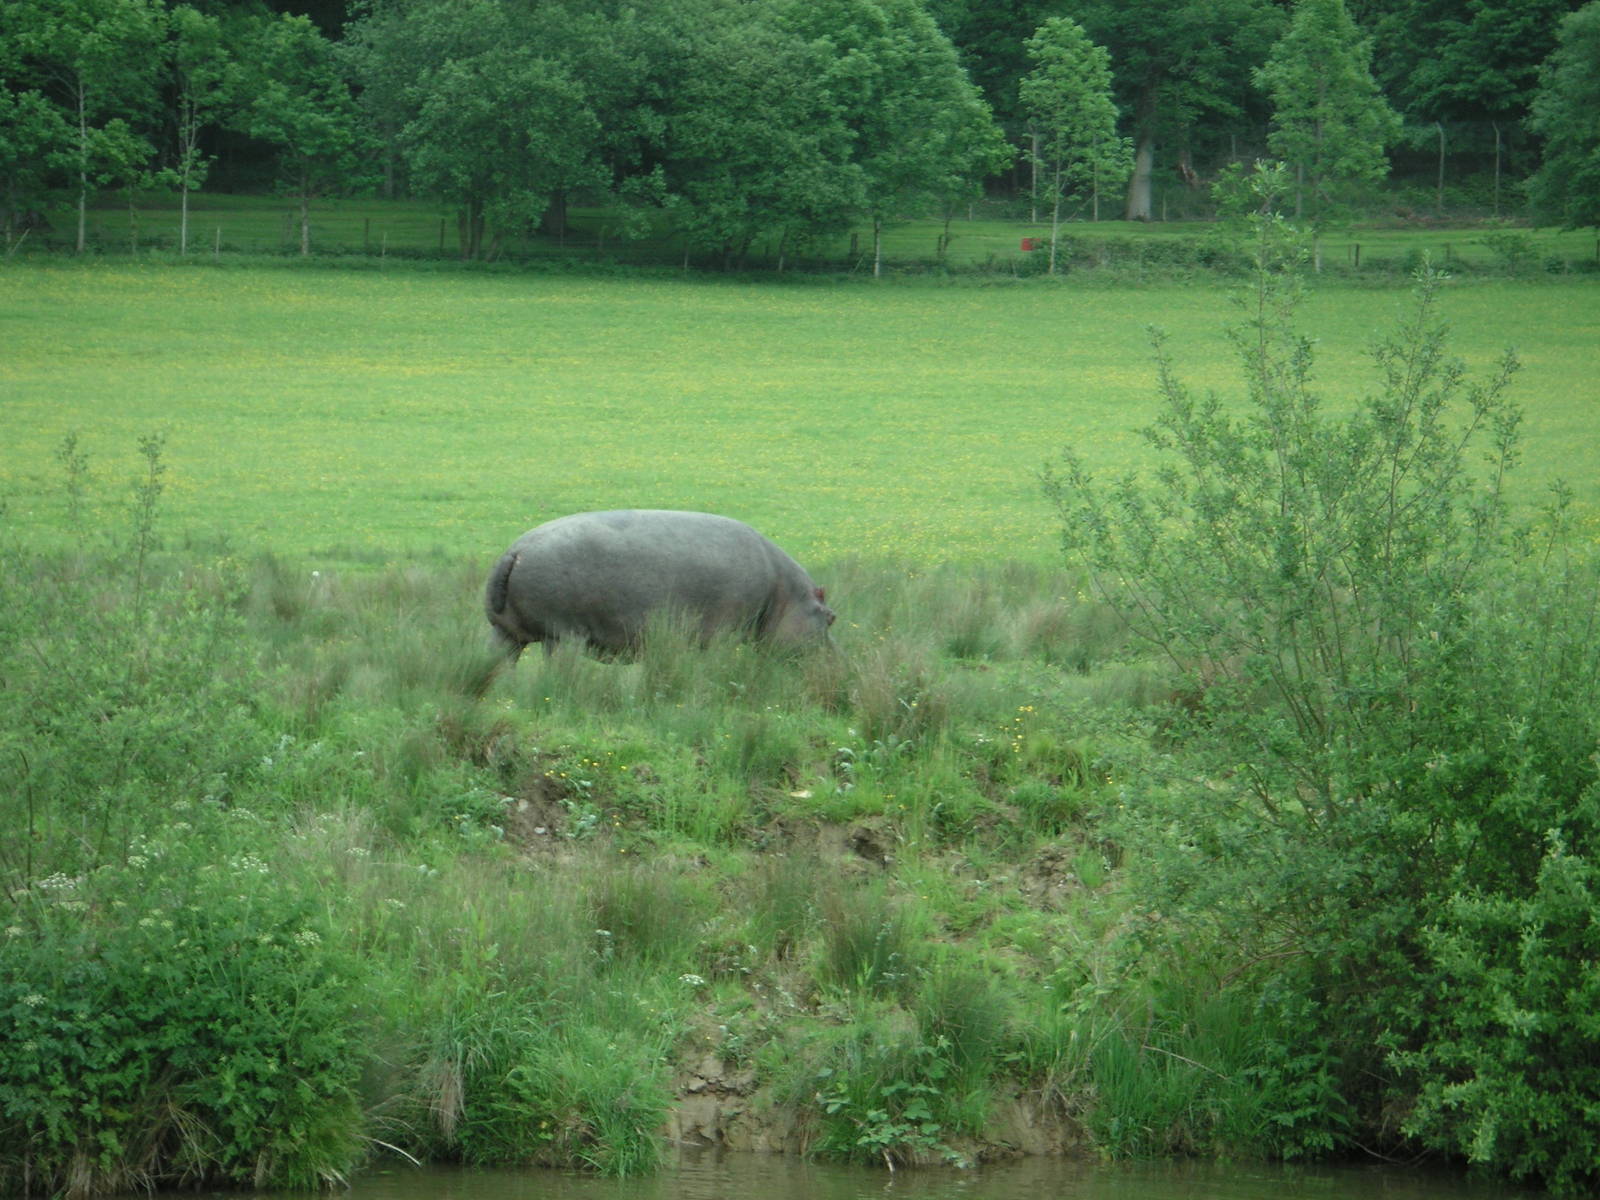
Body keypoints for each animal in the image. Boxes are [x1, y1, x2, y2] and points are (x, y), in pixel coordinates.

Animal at [485, 509, 835, 660]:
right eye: (832, 617)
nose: (839, 659)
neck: (786, 593)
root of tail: (515, 552)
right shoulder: (723, 628)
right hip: (563, 636)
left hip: (505, 634)